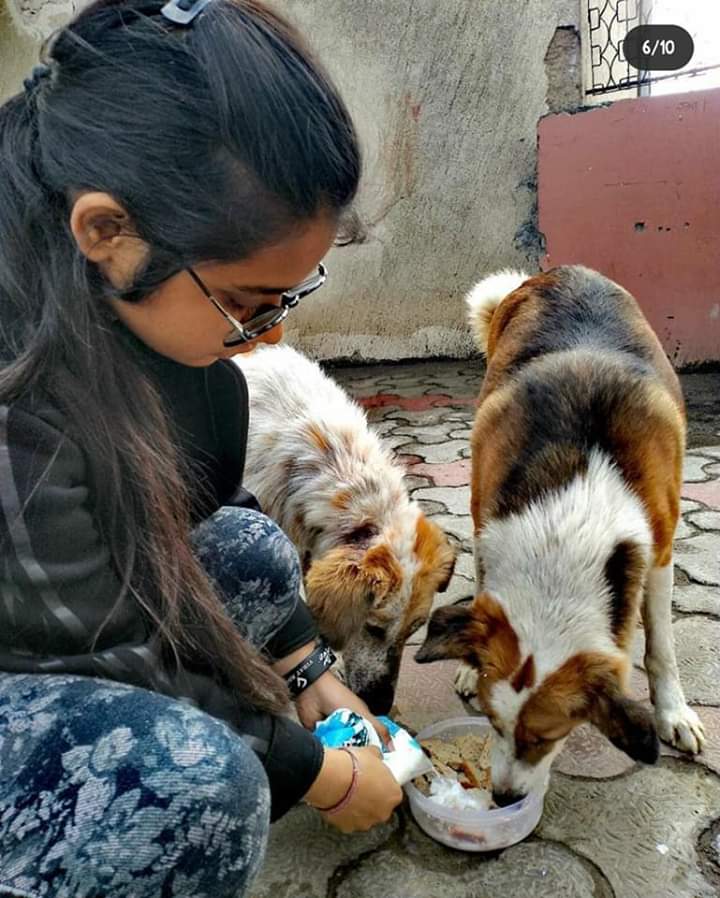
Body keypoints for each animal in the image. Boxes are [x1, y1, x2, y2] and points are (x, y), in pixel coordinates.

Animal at [416, 262, 704, 800]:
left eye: (546, 738)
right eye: (492, 723)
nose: (504, 797)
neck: (568, 522)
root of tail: (564, 270)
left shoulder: (659, 554)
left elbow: (661, 648)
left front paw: (672, 711)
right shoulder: (487, 527)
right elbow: (483, 601)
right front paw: (467, 661)